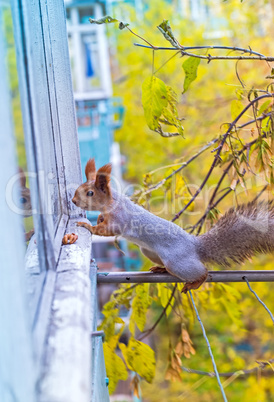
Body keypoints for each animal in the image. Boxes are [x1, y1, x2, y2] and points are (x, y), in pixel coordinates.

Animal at [72, 159, 274, 294]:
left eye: (90, 193)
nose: (73, 201)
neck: (112, 204)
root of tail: (195, 246)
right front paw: (98, 218)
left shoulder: (119, 220)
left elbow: (107, 230)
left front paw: (86, 225)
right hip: (150, 252)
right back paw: (160, 269)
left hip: (176, 262)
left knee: (203, 272)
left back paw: (195, 282)